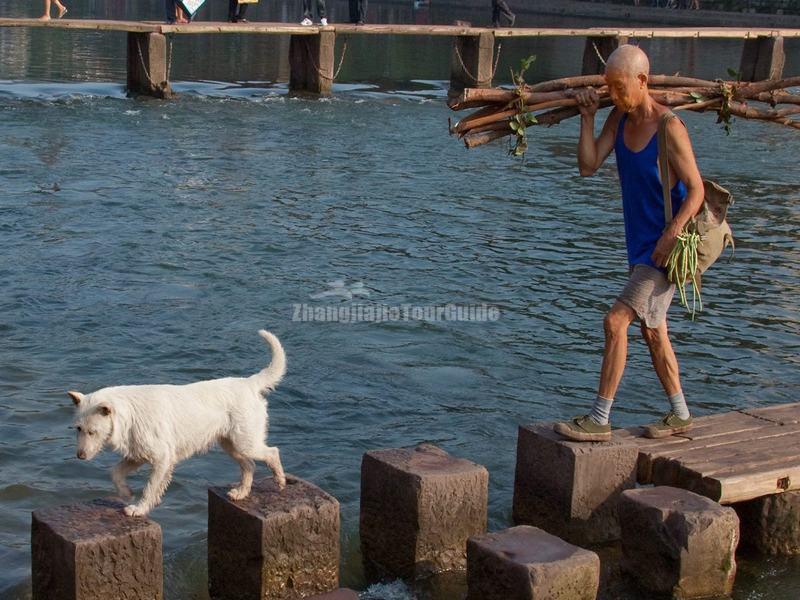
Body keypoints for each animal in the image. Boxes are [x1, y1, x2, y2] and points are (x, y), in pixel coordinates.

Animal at [69, 328, 288, 516]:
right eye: (78, 429)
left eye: (93, 432)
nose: (80, 456)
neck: (129, 415)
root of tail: (249, 383)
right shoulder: (137, 455)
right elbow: (114, 472)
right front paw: (126, 493)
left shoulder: (162, 458)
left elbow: (150, 488)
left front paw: (138, 509)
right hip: (231, 444)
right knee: (249, 465)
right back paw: (241, 492)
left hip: (245, 442)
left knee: (272, 452)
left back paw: (280, 481)